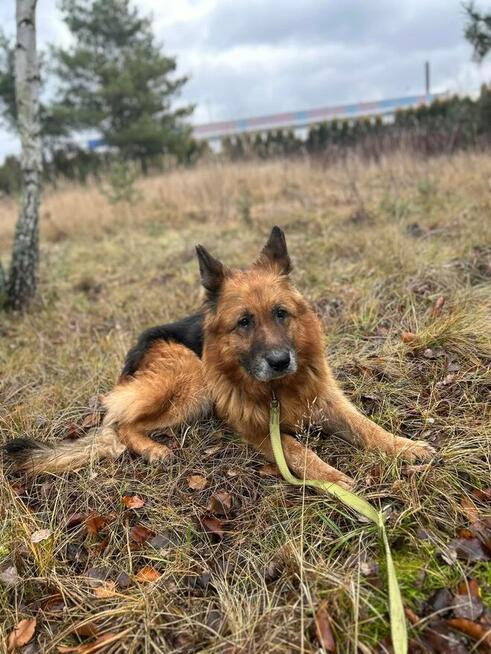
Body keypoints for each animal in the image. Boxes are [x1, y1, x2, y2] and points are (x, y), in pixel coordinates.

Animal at [2, 226, 434, 486]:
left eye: (281, 314)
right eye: (244, 322)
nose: (280, 361)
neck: (278, 391)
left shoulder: (327, 401)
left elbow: (365, 426)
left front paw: (404, 447)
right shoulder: (259, 431)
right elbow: (299, 449)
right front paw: (331, 478)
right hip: (193, 380)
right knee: (120, 423)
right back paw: (153, 450)